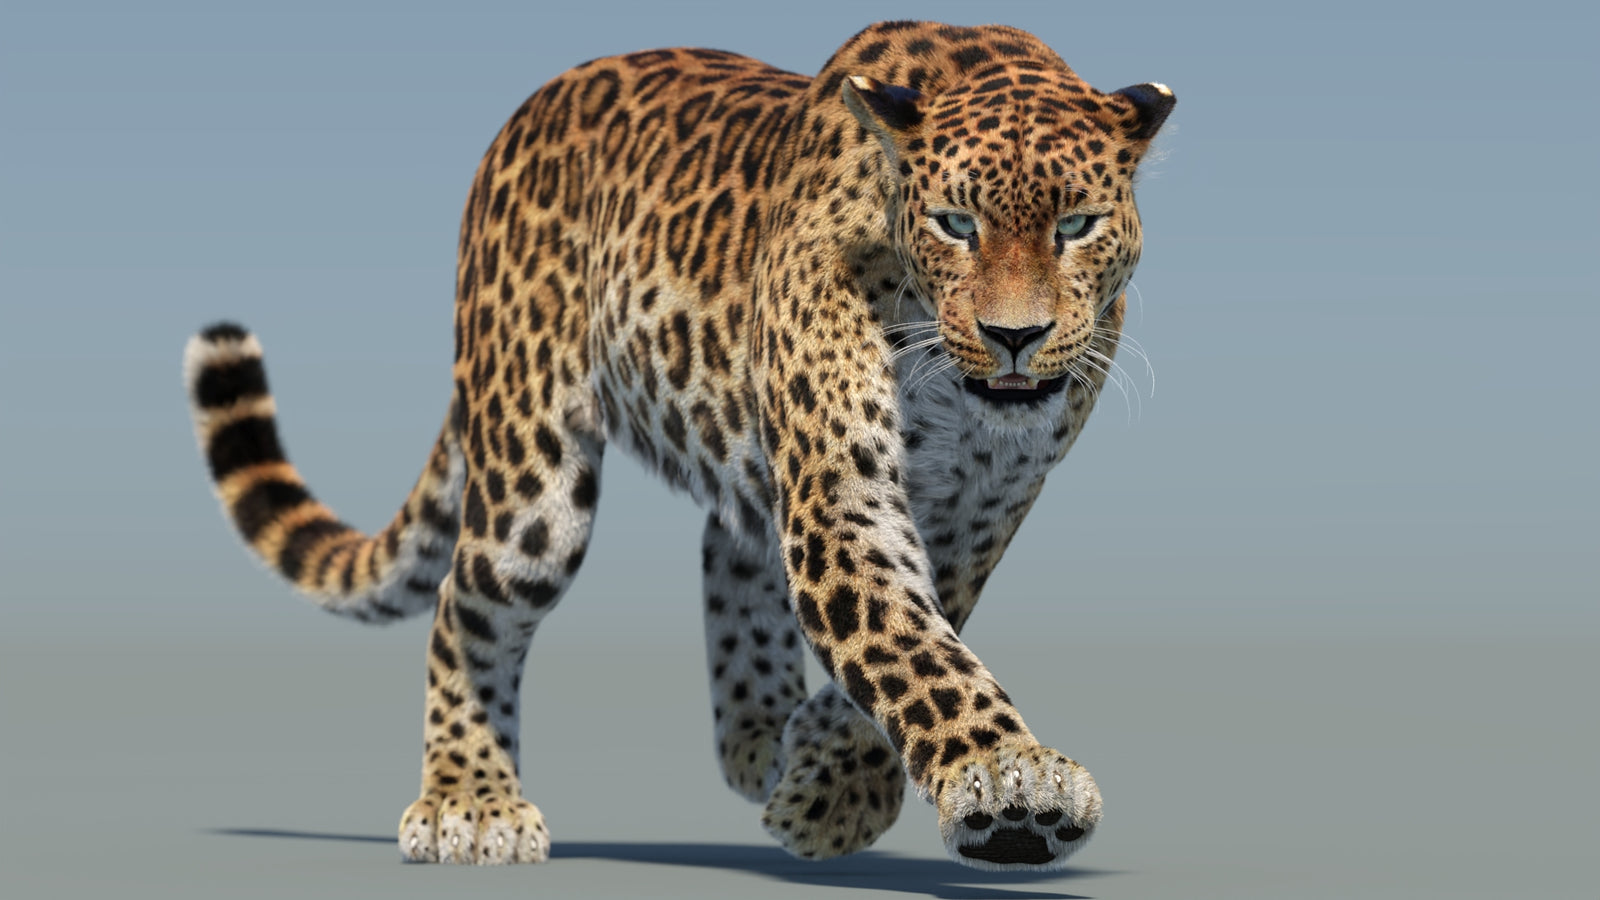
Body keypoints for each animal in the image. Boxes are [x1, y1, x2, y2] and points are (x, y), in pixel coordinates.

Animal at [183, 20, 1174, 870]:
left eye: (1077, 226)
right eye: (956, 225)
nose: (1016, 336)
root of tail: (524, 113)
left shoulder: (977, 512)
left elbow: (923, 631)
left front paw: (831, 785)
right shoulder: (843, 497)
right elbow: (908, 643)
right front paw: (1008, 787)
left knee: (727, 546)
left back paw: (761, 736)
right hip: (532, 479)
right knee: (466, 602)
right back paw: (472, 801)